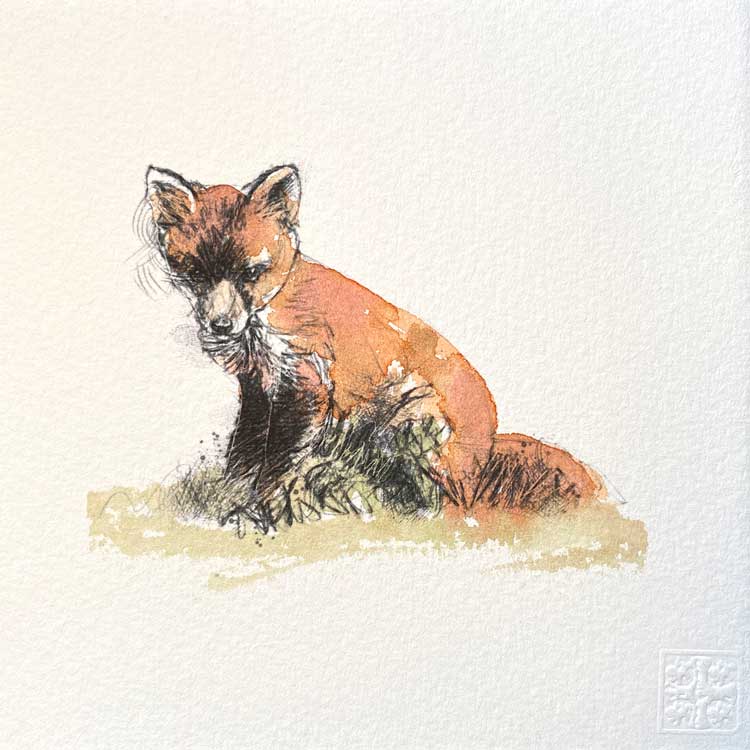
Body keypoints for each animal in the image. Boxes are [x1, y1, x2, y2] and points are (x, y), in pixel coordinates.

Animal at [143, 163, 603, 528]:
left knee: (437, 501)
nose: (220, 326)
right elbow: (243, 454)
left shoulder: (306, 384)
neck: (266, 316)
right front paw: (229, 495)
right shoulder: (259, 387)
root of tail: (487, 448)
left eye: (251, 272)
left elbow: (275, 464)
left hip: (413, 421)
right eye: (195, 273)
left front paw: (261, 510)